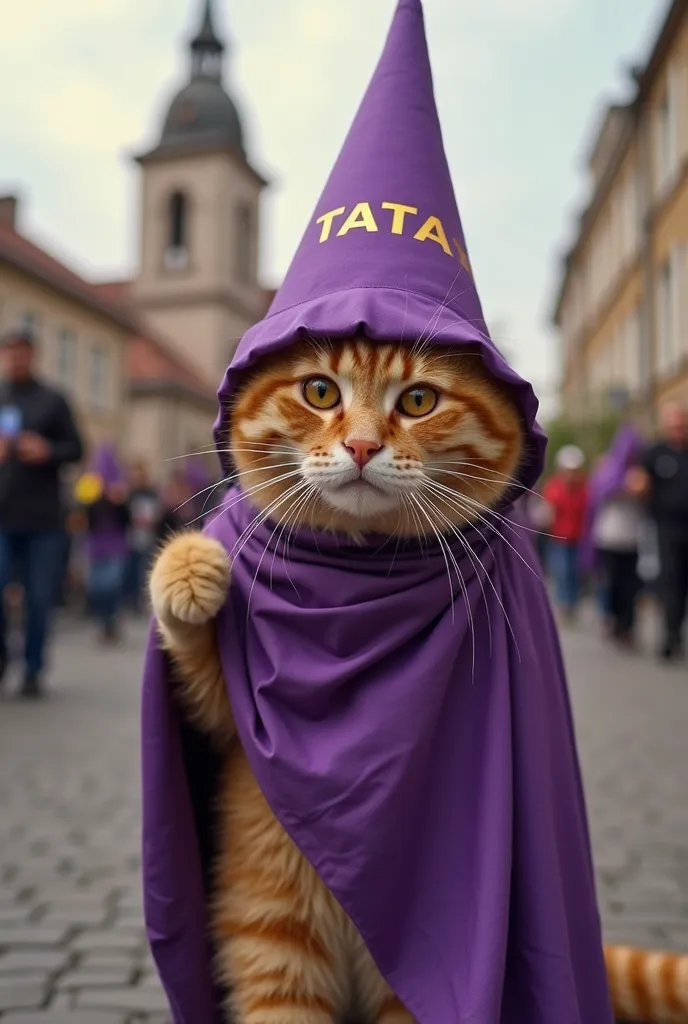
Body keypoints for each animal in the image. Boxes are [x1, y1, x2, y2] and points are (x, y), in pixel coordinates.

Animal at [150, 337, 524, 1024]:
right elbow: (194, 662)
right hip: (275, 943)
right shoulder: (225, 716)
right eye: (320, 392)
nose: (362, 446)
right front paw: (187, 568)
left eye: (419, 401)